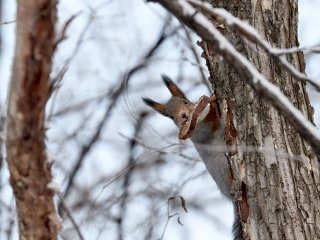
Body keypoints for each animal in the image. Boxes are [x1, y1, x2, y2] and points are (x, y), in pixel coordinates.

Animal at [142, 76, 242, 240]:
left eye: (185, 102)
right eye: (171, 117)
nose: (183, 116)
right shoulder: (199, 134)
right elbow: (208, 128)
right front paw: (212, 104)